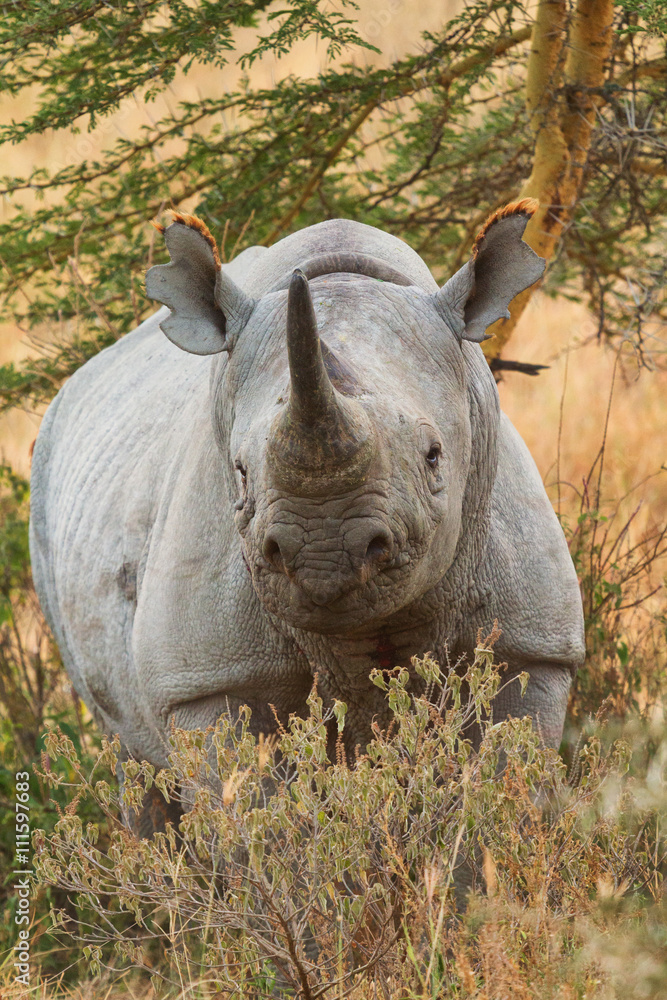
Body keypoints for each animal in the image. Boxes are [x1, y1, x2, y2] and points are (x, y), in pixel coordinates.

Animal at [30, 202, 584, 832]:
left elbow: (502, 794)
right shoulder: (211, 680)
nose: (325, 552)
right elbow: (256, 819)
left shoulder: (531, 648)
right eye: (240, 473)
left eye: (433, 456)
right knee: (132, 756)